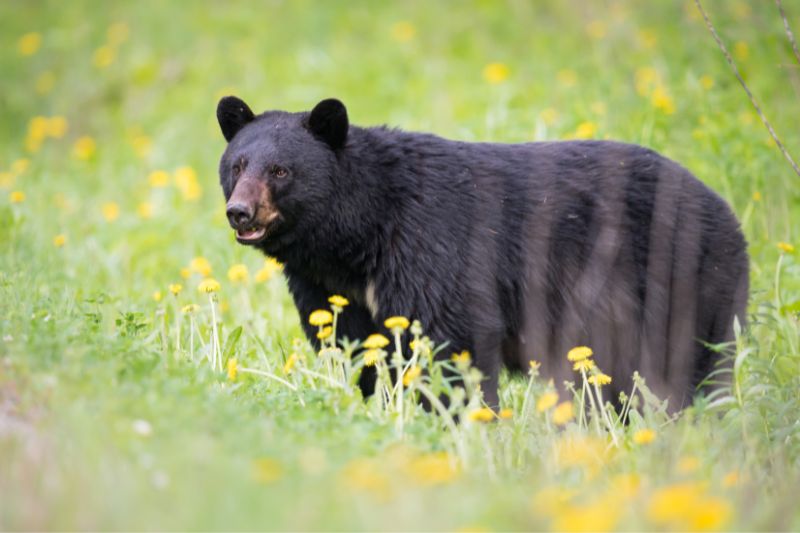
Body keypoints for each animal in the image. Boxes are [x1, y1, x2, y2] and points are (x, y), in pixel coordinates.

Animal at [216, 96, 749, 410]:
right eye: (237, 164)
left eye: (281, 171)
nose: (239, 212)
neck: (358, 235)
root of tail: (728, 212)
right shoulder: (328, 287)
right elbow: (360, 346)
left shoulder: (431, 245)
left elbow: (453, 336)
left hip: (683, 281)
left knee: (685, 366)